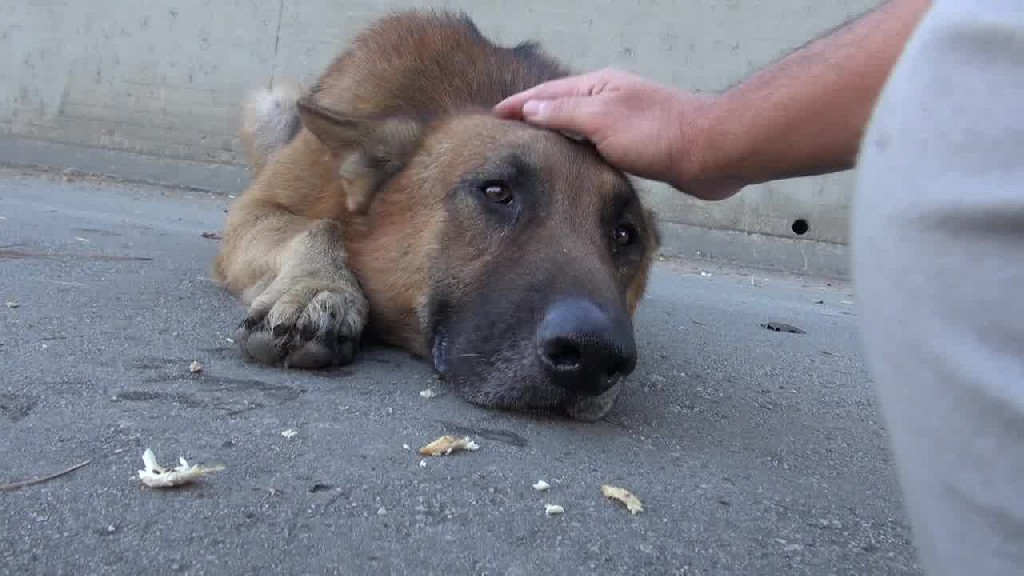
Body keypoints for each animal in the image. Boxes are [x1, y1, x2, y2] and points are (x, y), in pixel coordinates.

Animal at [217, 8, 663, 420]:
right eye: (497, 192)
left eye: (625, 234)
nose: (596, 354)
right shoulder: (255, 210)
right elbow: (317, 226)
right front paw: (317, 288)